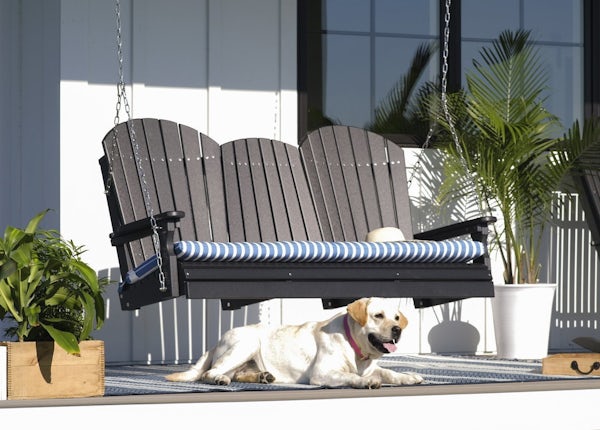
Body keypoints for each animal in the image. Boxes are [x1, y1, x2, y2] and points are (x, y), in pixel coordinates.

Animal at [166, 298, 424, 388]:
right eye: (378, 316)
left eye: (396, 317)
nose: (397, 329)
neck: (356, 350)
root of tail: (216, 341)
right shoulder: (323, 373)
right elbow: (351, 376)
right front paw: (365, 382)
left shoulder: (373, 367)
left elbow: (389, 372)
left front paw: (408, 377)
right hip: (246, 343)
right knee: (210, 372)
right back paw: (220, 379)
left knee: (238, 373)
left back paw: (263, 376)